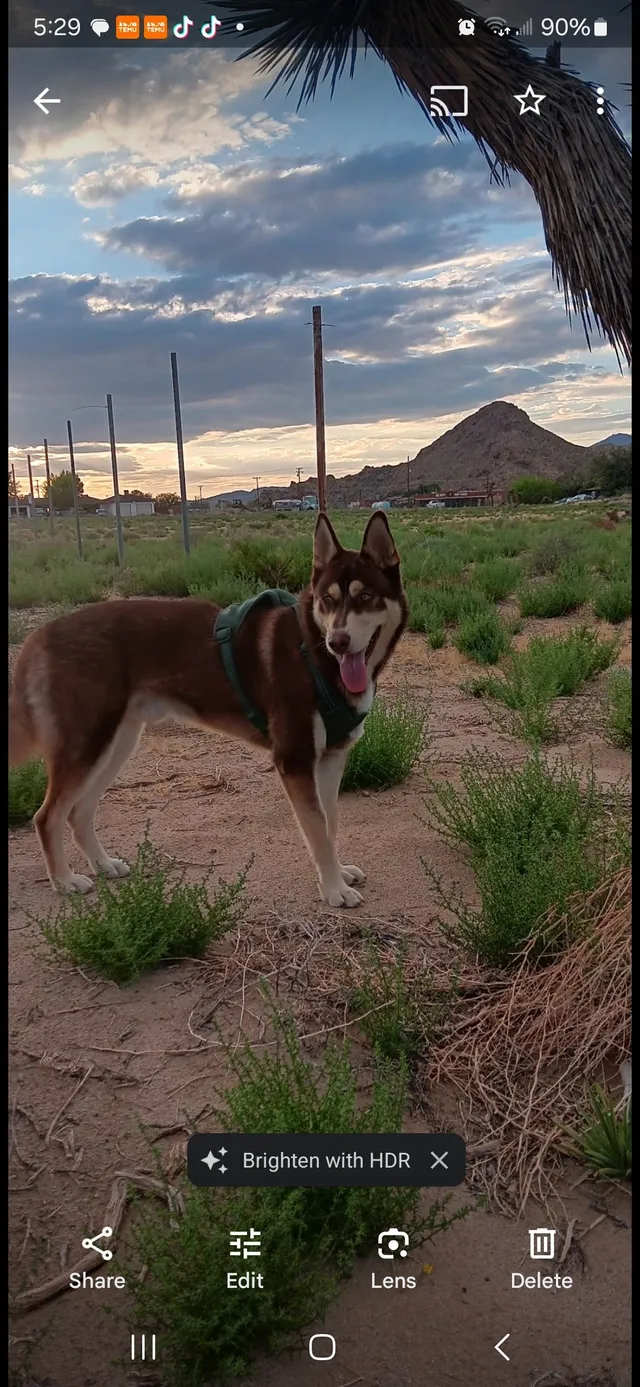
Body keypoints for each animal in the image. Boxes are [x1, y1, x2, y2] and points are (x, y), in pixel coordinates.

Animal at [9, 511, 407, 907]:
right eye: (327, 599)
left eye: (366, 596)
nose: (338, 641)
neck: (314, 653)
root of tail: (40, 635)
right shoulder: (294, 760)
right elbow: (318, 831)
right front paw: (334, 890)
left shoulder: (330, 758)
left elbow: (329, 822)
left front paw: (337, 875)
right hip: (86, 745)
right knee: (47, 816)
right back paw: (65, 881)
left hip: (114, 745)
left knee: (79, 812)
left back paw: (104, 865)